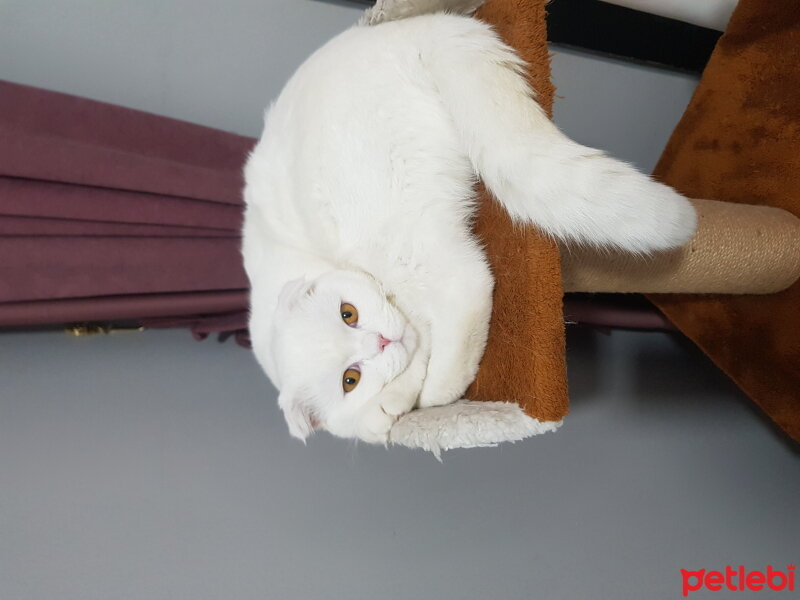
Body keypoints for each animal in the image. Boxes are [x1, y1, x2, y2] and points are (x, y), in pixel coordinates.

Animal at [241, 0, 696, 440]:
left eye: (347, 313)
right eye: (349, 380)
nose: (382, 342)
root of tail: (417, 33)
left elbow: (415, 354)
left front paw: (403, 398)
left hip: (381, 234)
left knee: (468, 281)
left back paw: (443, 388)